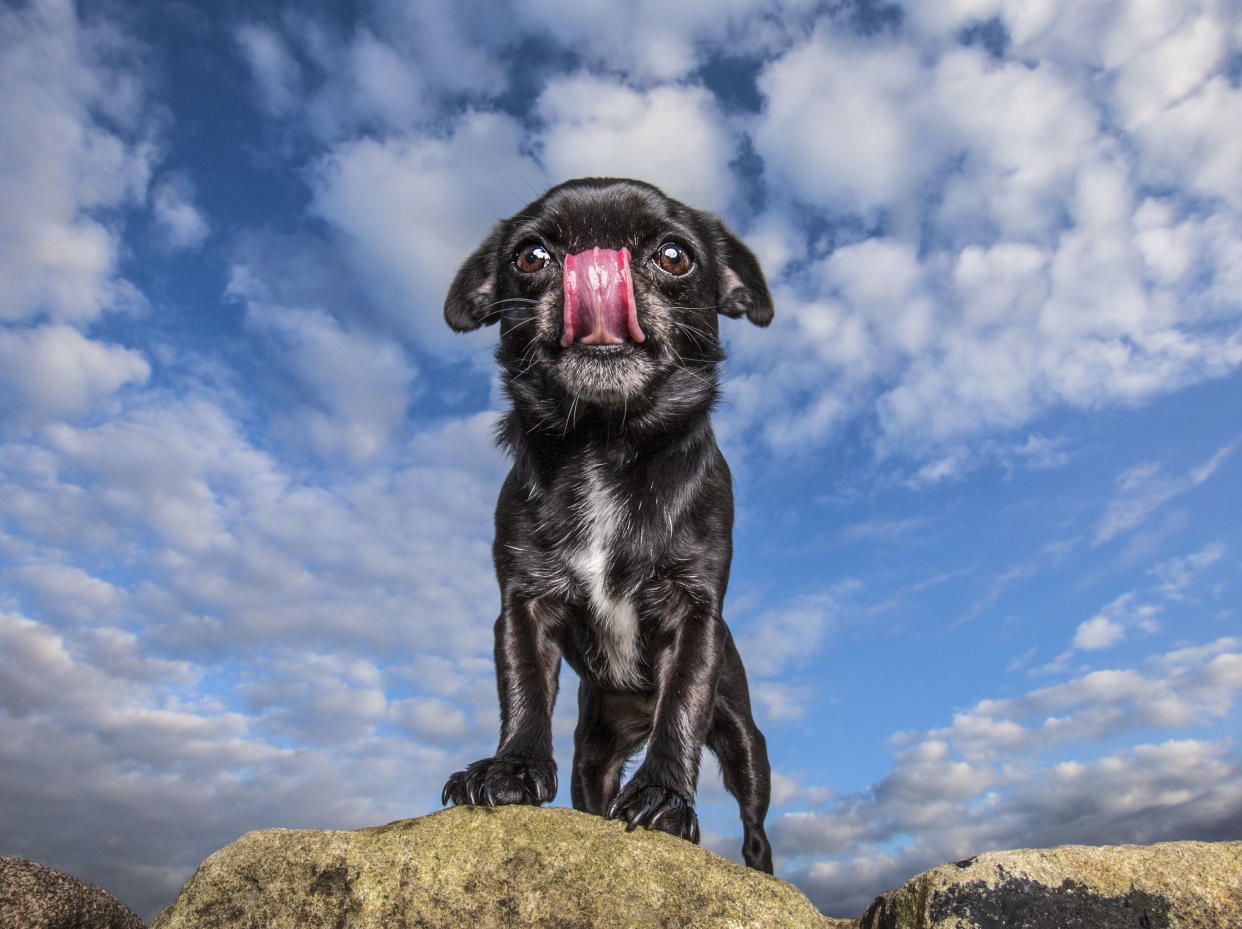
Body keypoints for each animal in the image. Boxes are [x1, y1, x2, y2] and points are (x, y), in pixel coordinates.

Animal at [442, 176, 775, 869]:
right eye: (531, 257)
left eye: (674, 256)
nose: (593, 265)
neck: (605, 442)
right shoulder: (524, 607)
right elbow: (523, 687)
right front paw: (510, 768)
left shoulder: (693, 612)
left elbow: (682, 704)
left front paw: (665, 797)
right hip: (592, 756)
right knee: (593, 797)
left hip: (745, 746)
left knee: (755, 824)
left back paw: (762, 870)